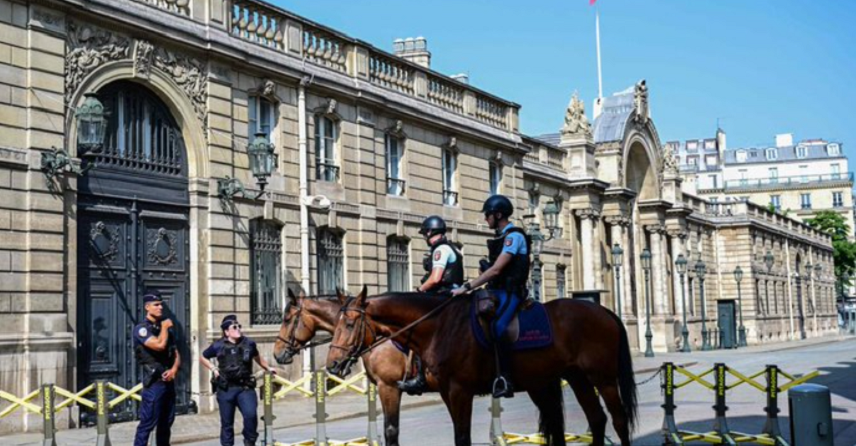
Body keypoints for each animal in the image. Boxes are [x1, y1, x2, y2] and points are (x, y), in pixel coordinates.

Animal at [326, 288, 636, 446]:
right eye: (336, 324)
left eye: (350, 324)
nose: (331, 365)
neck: (439, 326)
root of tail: (605, 311)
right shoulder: (446, 392)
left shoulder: (453, 390)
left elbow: (459, 436)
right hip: (573, 378)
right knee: (595, 419)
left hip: (603, 378)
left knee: (618, 420)